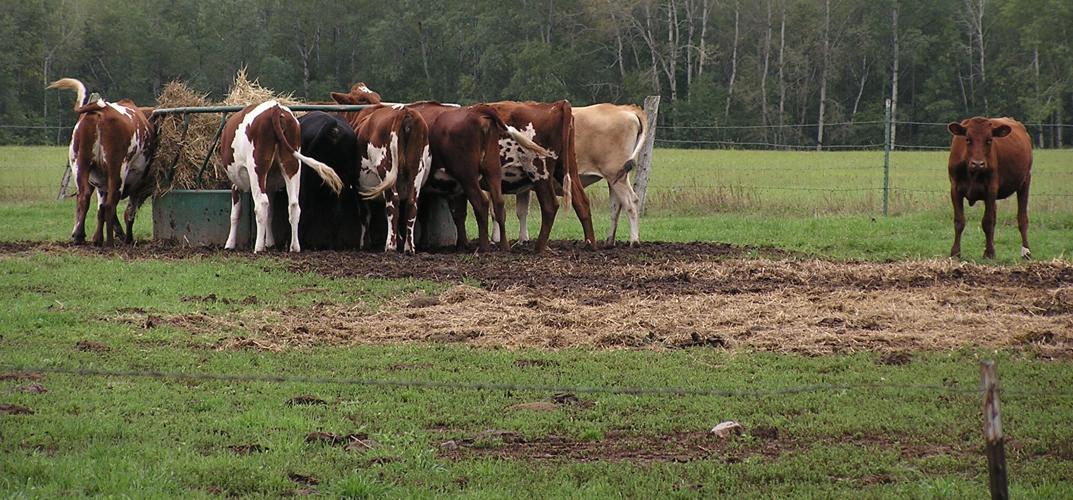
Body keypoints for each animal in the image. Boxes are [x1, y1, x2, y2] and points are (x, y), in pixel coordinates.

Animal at [48, 78, 156, 246]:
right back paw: (110, 241)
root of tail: (101, 109)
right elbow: (127, 213)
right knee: (111, 204)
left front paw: (98, 238)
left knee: (84, 198)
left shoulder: (102, 183)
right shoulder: (138, 187)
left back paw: (79, 236)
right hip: (117, 170)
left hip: (80, 165)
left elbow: (101, 209)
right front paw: (127, 238)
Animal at [219, 100, 344, 253]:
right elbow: (270, 214)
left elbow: (235, 213)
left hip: (257, 167)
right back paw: (294, 246)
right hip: (292, 165)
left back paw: (258, 247)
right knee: (294, 204)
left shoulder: (236, 185)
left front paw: (229, 244)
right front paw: (270, 242)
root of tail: (275, 108)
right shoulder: (270, 187)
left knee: (262, 203)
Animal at [330, 86, 430, 254]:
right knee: (411, 203)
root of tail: (405, 112)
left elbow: (365, 214)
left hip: (386, 168)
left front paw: (364, 243)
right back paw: (409, 246)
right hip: (417, 170)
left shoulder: (358, 186)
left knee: (393, 202)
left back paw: (390, 245)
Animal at [488, 100, 597, 253]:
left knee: (550, 205)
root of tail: (557, 105)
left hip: (539, 172)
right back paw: (590, 244)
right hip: (567, 169)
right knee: (582, 202)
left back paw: (539, 247)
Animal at [946, 116, 1033, 260]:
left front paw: (989, 253)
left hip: (1025, 181)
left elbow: (987, 222)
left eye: (989, 140)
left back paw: (1026, 251)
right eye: (968, 139)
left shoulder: (991, 190)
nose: (977, 163)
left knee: (1022, 218)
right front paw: (955, 253)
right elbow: (959, 221)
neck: (972, 173)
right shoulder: (955, 189)